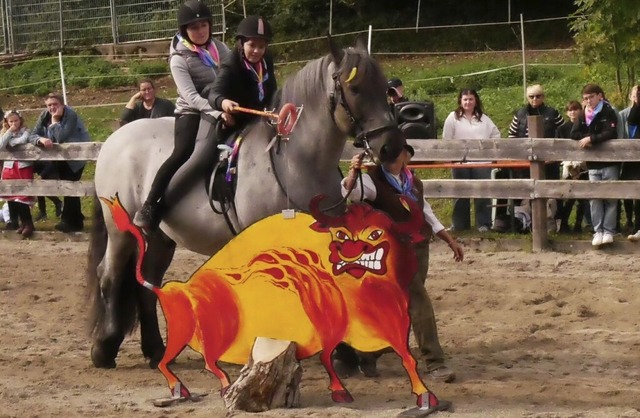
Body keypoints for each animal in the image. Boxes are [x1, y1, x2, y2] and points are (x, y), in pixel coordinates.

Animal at [86, 36, 400, 370]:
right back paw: (104, 348)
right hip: (121, 232)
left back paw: (156, 351)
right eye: (356, 89)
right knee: (109, 275)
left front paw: (341, 352)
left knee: (146, 284)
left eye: (384, 88)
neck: (295, 160)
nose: (392, 148)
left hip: (159, 238)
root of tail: (114, 139)